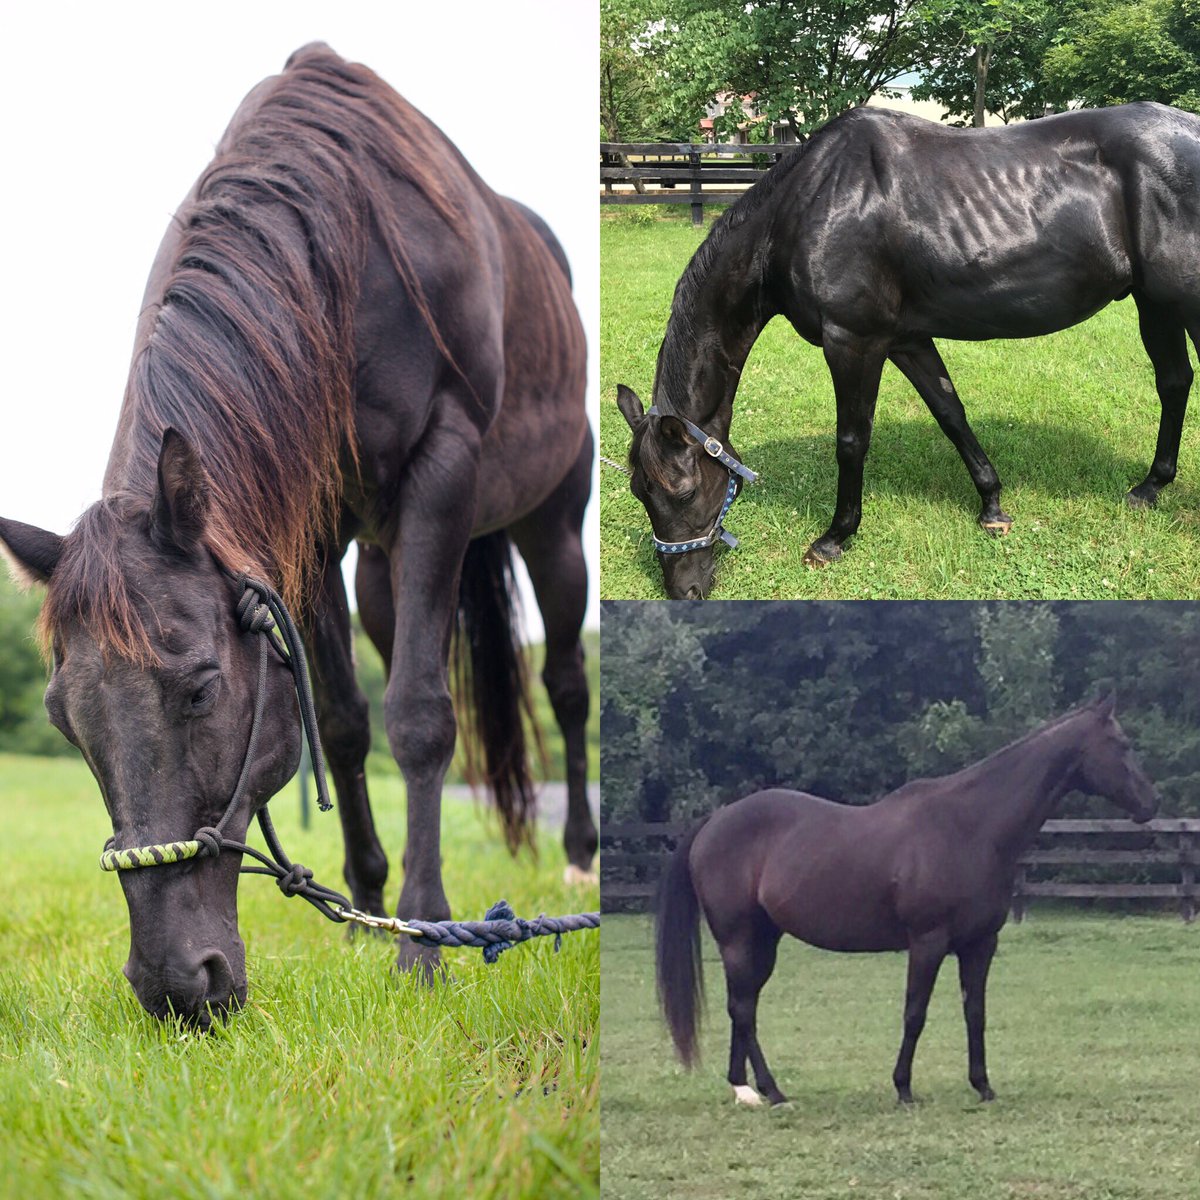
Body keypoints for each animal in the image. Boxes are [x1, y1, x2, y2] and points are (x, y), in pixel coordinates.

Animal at [0, 44, 595, 1027]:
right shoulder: (306, 529)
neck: (345, 260)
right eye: (63, 719)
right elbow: (347, 723)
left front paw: (423, 941)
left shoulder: (442, 469)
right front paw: (365, 916)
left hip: (554, 525)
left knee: (568, 684)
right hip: (385, 569)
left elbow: (419, 718)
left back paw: (582, 855)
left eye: (201, 691)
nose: (176, 985)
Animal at [616, 103, 1200, 599]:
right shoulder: (906, 340)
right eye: (640, 493)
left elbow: (852, 440)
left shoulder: (852, 341)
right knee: (1174, 382)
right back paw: (1150, 487)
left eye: (683, 492)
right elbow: (951, 413)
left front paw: (834, 538)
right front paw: (992, 506)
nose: (684, 590)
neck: (808, 208)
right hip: (1155, 303)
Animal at [655, 695, 1157, 1106]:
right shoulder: (928, 942)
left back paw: (744, 1089)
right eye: (1122, 743)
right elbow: (915, 1013)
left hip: (763, 939)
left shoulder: (980, 944)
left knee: (743, 1005)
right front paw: (903, 1088)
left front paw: (983, 1086)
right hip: (739, 938)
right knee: (743, 1008)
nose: (1151, 802)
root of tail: (714, 821)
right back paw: (772, 1092)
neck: (970, 827)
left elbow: (975, 1013)